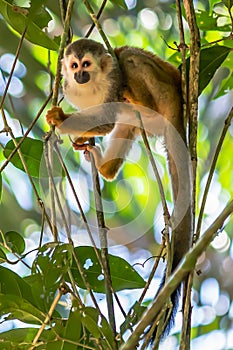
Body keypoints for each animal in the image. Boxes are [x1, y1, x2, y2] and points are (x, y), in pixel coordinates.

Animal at [46, 37, 192, 340]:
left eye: (86, 64)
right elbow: (104, 122)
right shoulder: (69, 89)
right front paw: (80, 137)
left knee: (128, 58)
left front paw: (61, 119)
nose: (79, 75)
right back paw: (105, 169)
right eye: (74, 66)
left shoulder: (111, 82)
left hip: (165, 95)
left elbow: (107, 118)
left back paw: (137, 98)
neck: (91, 86)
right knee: (127, 121)